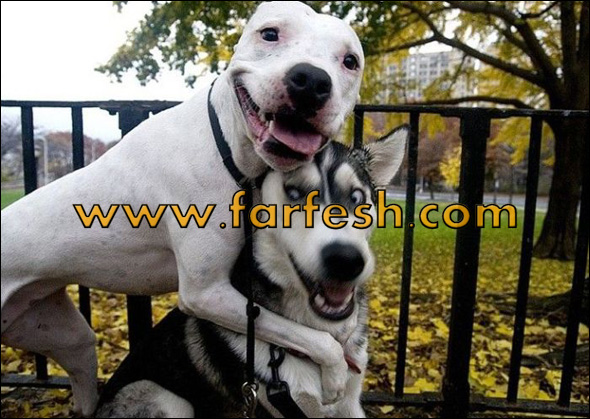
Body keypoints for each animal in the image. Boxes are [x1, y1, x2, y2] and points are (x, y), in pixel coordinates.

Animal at [1, 2, 365, 415]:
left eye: (350, 61)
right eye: (270, 34)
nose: (311, 80)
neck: (227, 142)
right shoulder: (207, 294)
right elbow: (317, 339)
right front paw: (335, 372)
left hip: (65, 336)